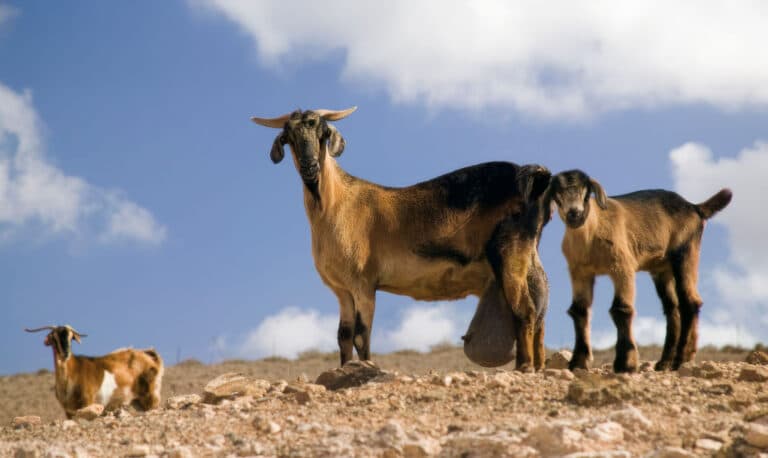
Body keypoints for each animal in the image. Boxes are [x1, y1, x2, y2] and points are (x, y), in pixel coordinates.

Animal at [25, 325, 163, 418]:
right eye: (54, 337)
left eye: (71, 337)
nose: (65, 353)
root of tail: (150, 356)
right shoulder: (68, 412)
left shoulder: (88, 402)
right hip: (138, 402)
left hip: (151, 397)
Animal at [252, 107, 551, 371]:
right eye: (288, 136)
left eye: (322, 132)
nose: (310, 167)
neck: (336, 205)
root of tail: (533, 177)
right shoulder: (342, 290)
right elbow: (343, 337)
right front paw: (345, 369)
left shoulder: (363, 283)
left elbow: (361, 334)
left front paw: (365, 369)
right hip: (529, 256)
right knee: (540, 309)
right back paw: (538, 365)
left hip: (510, 253)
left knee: (524, 310)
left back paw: (524, 367)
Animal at [544, 170, 732, 372]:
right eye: (557, 193)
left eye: (586, 192)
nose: (575, 213)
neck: (591, 234)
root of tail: (694, 207)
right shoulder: (580, 272)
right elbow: (579, 310)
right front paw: (578, 362)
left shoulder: (623, 266)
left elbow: (621, 309)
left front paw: (626, 363)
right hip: (662, 269)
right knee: (672, 308)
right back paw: (666, 362)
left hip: (685, 252)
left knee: (689, 302)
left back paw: (680, 359)